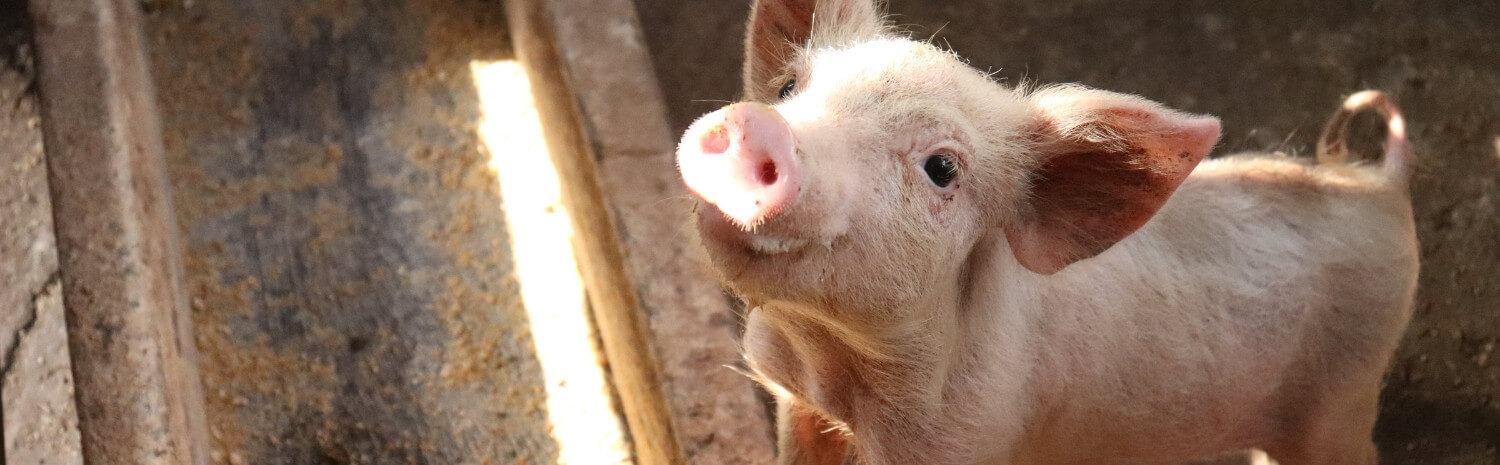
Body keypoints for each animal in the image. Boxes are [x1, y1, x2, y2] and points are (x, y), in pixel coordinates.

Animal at [673, 1, 1419, 464]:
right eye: (788, 86)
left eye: (942, 168)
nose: (757, 125)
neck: (835, 365)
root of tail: (1381, 187)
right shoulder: (793, 398)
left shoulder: (965, 439)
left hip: (1342, 400)